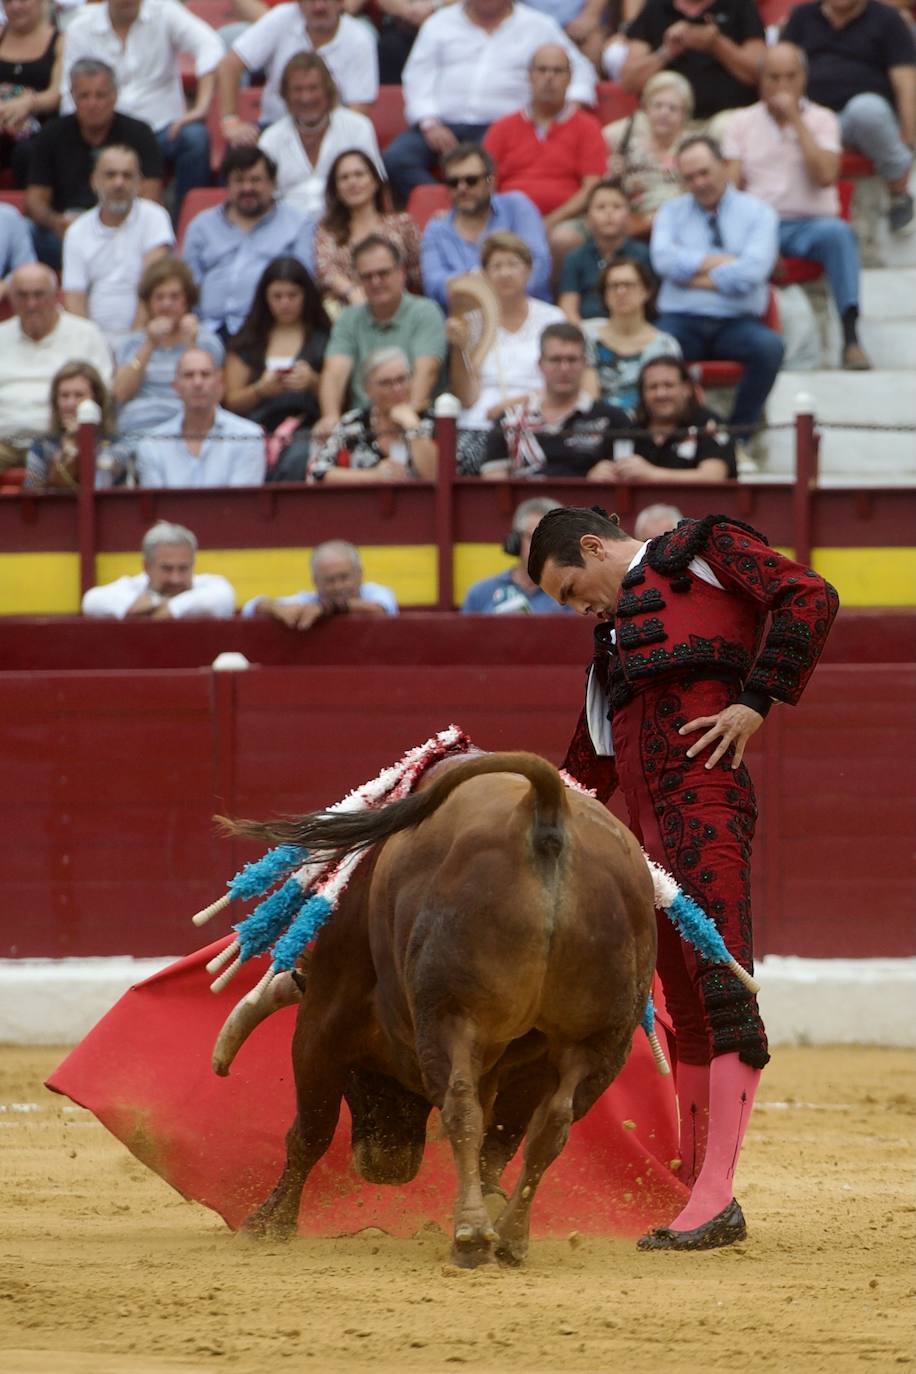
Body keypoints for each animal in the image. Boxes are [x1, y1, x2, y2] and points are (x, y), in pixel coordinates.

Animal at [229, 752, 659, 1264]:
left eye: (358, 1079)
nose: (385, 1166)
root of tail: (544, 808)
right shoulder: (521, 1060)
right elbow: (500, 1140)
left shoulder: (322, 1021)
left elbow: (309, 1132)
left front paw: (267, 1223)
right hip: (600, 1040)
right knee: (552, 1124)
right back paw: (510, 1236)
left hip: (448, 1015)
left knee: (461, 1106)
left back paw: (471, 1236)